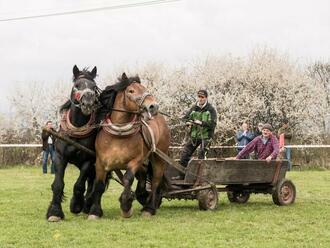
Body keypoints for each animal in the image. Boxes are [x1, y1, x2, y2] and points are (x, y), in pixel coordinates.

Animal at [46, 65, 100, 222]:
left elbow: (79, 185)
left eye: (94, 87)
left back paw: (89, 206)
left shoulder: (89, 160)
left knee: (94, 184)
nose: (87, 103)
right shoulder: (59, 156)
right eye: (77, 86)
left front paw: (76, 204)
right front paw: (54, 212)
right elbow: (58, 184)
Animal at [88, 72, 170, 218]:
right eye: (131, 91)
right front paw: (95, 211)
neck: (118, 135)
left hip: (159, 158)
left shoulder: (135, 161)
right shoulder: (100, 163)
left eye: (144, 88)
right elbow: (99, 185)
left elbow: (127, 179)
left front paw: (126, 205)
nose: (153, 106)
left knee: (155, 181)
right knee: (143, 177)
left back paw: (149, 208)